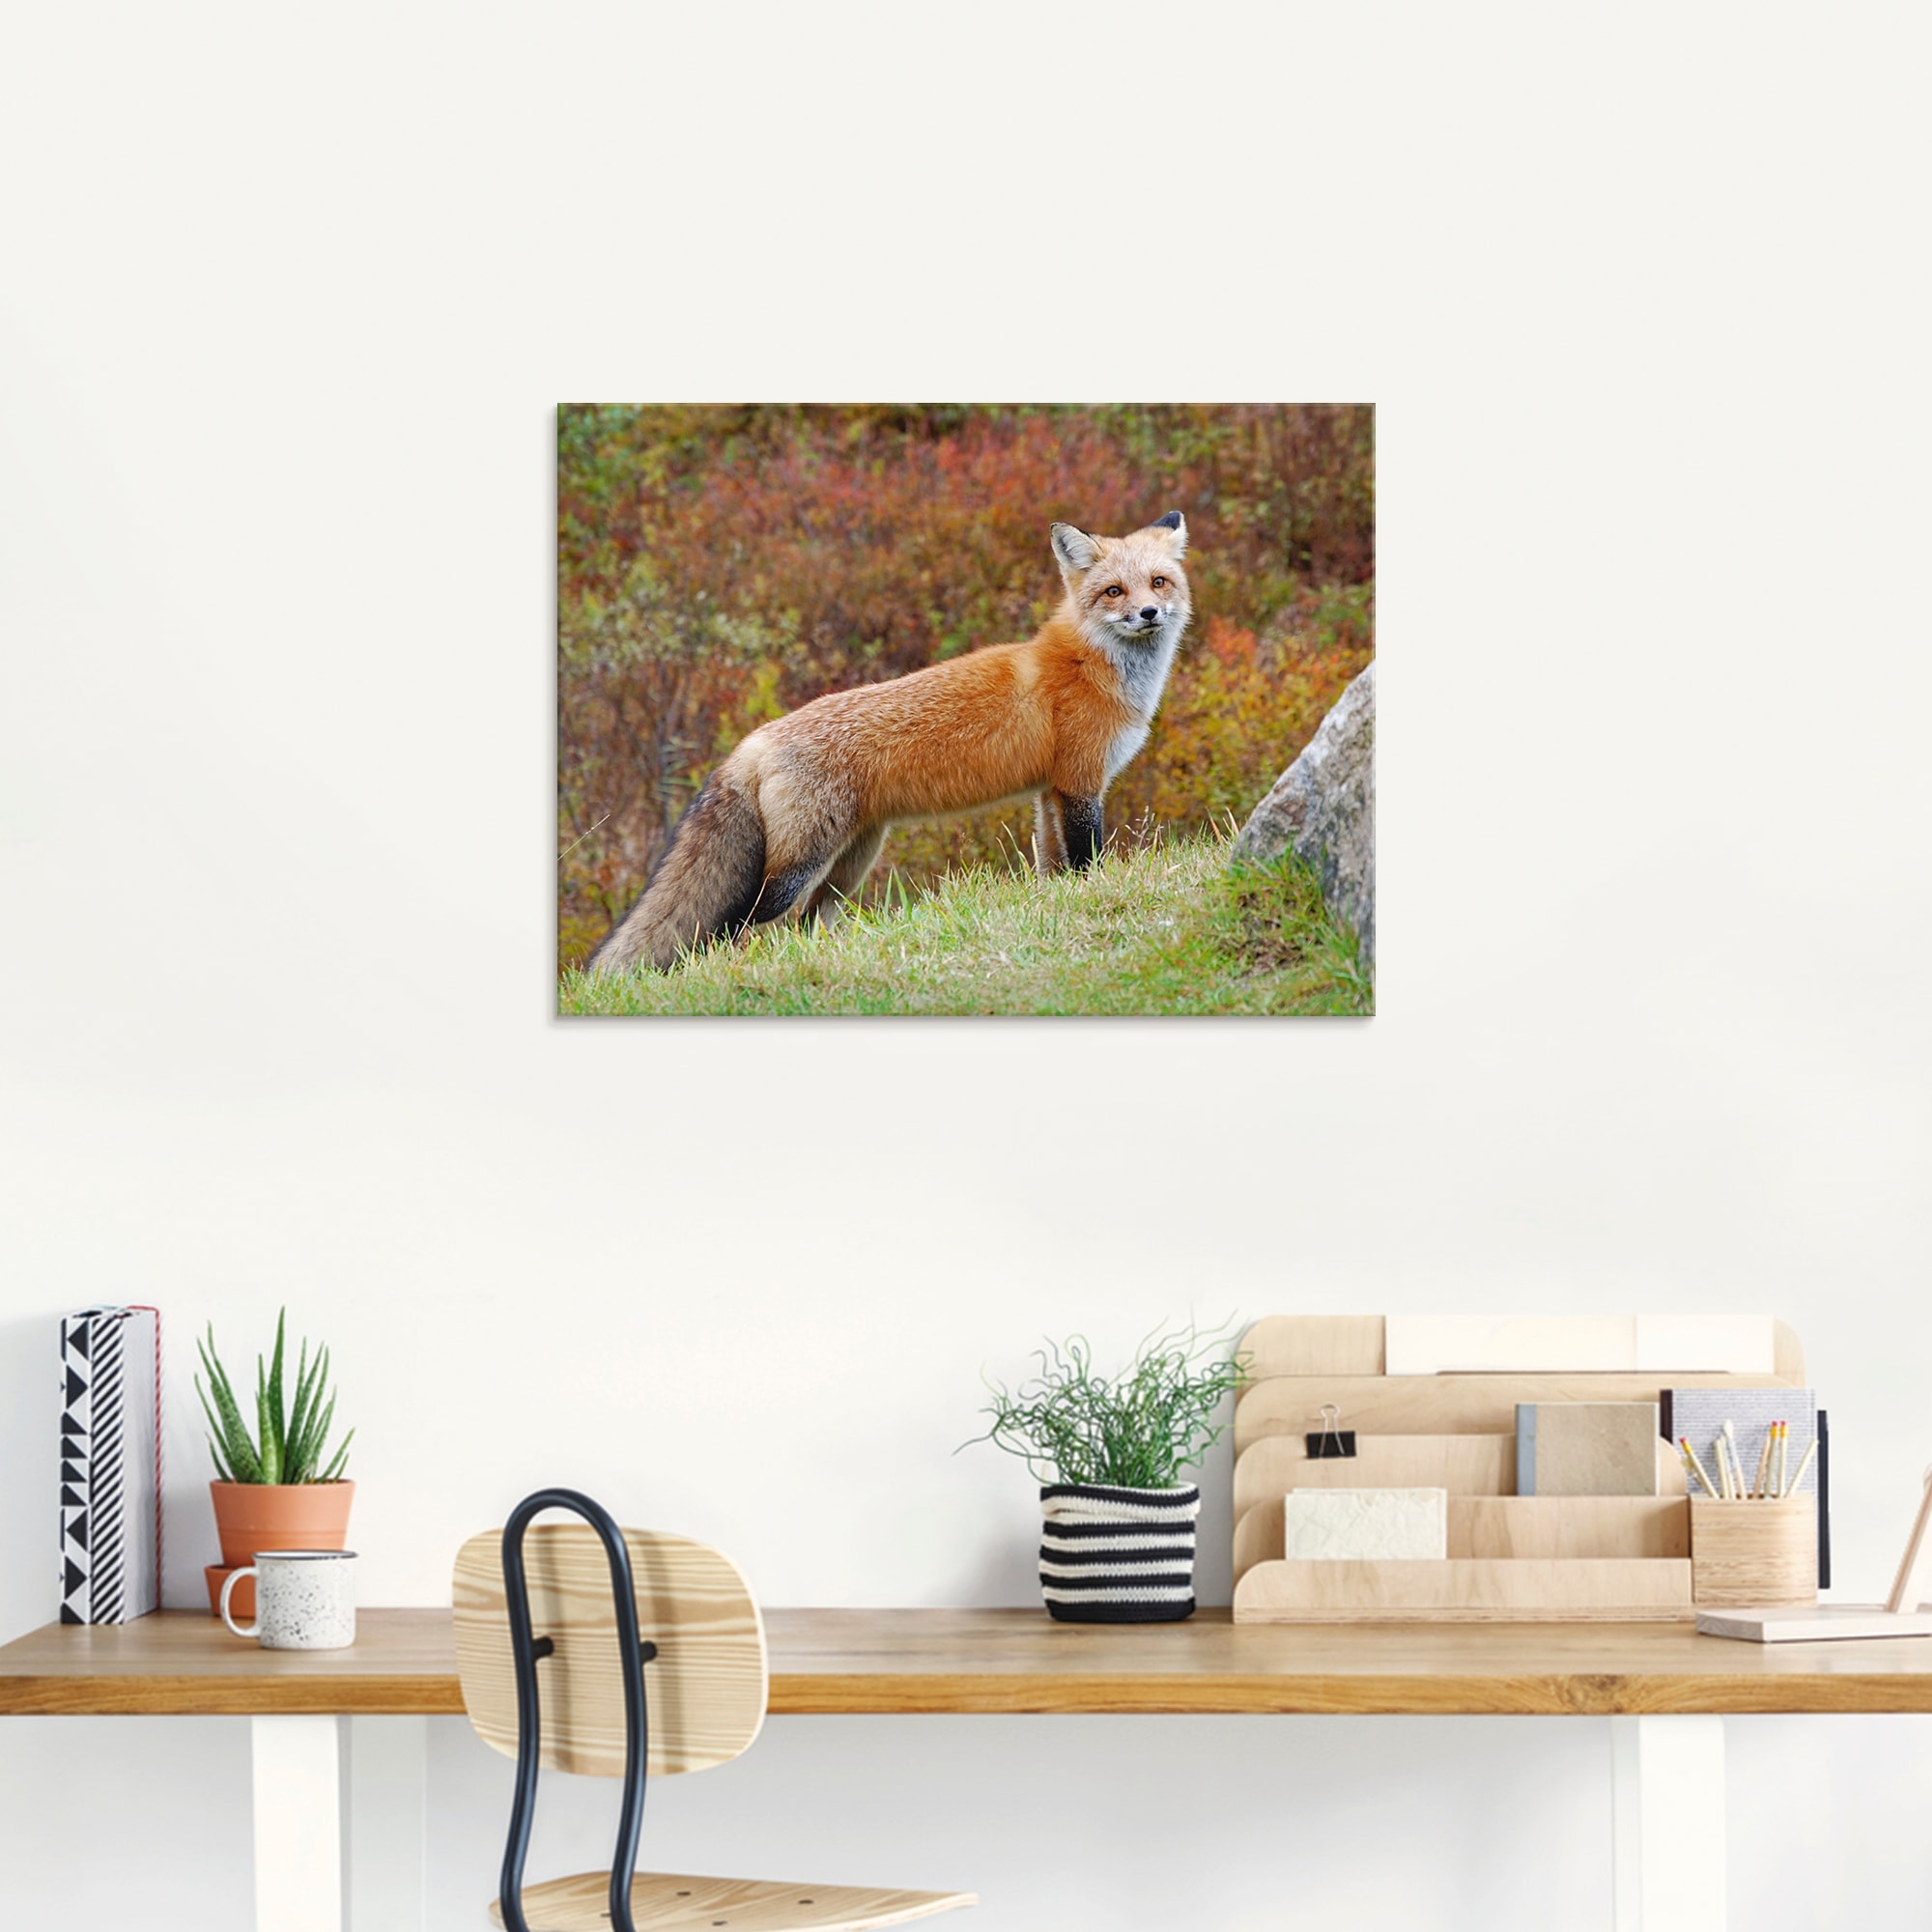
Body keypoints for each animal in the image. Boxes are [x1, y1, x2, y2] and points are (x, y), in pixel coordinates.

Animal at [585, 510, 1193, 975]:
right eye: (1114, 591)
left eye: (1159, 582)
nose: (1148, 613)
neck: (1093, 667)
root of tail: (753, 741)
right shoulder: (1081, 783)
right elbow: (1088, 863)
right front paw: (1093, 896)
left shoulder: (1051, 791)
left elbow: (1053, 868)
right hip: (798, 866)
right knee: (736, 924)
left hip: (851, 862)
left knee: (807, 923)